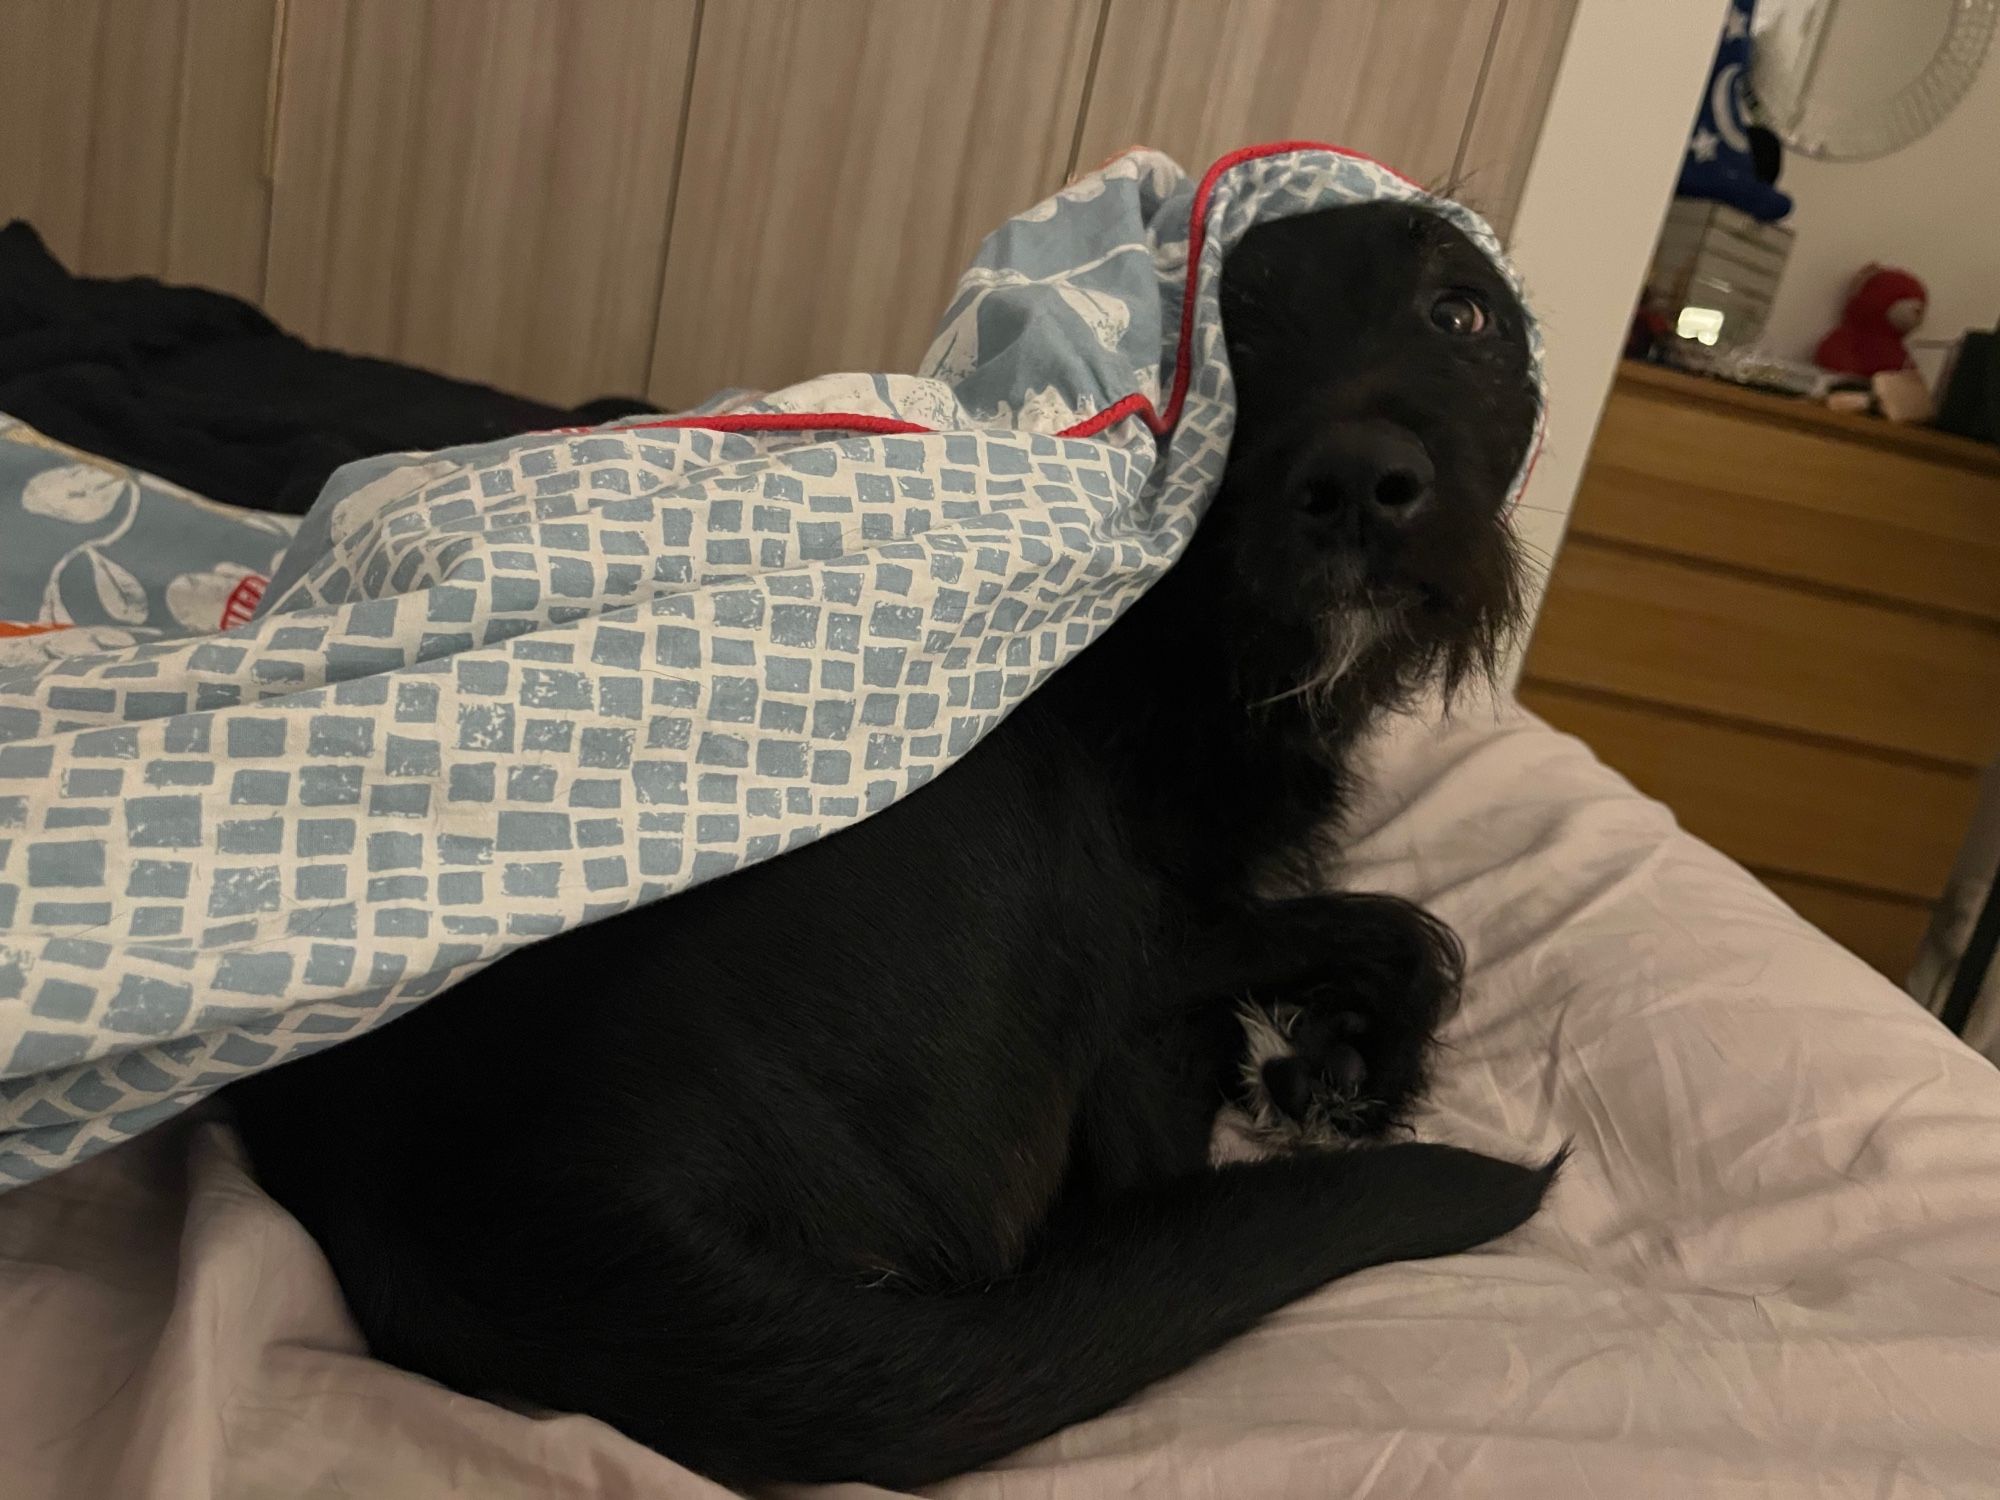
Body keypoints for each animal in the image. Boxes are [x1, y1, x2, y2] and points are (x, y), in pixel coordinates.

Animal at [230, 200, 1544, 1496]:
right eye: (1232, 325)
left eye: (1460, 312)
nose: (1359, 483)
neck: (1208, 633)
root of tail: (532, 1222)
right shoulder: (1168, 923)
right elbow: (1402, 929)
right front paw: (1353, 1055)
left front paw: (1330, 1051)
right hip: (1015, 804)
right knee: (1147, 1171)